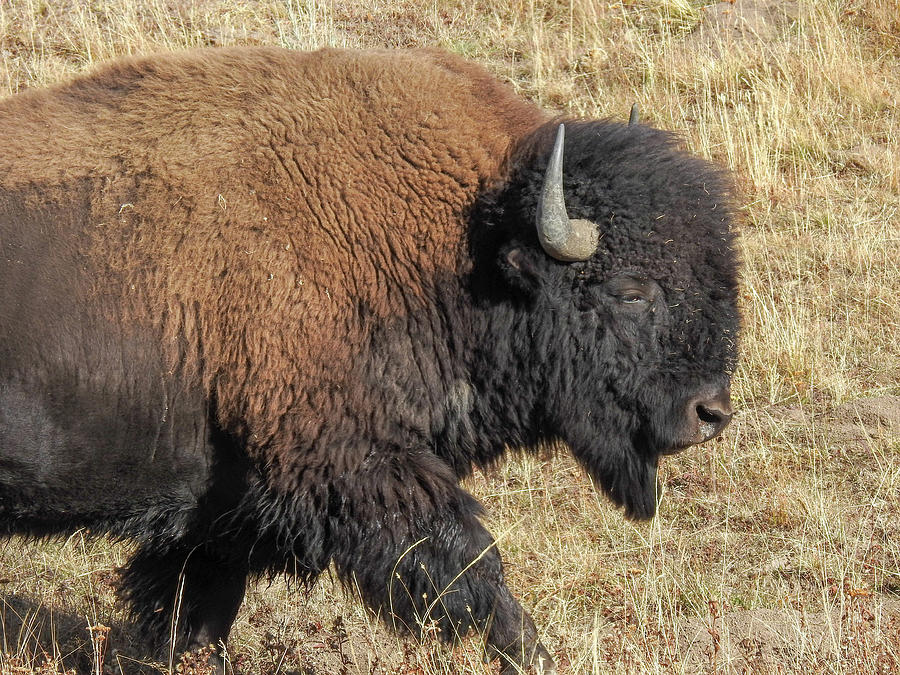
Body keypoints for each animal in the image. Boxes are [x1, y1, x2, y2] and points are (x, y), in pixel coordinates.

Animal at [0, 47, 740, 675]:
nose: (710, 412)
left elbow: (194, 614)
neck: (461, 244)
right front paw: (534, 653)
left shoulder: (221, 515)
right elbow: (474, 571)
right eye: (631, 289)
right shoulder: (359, 468)